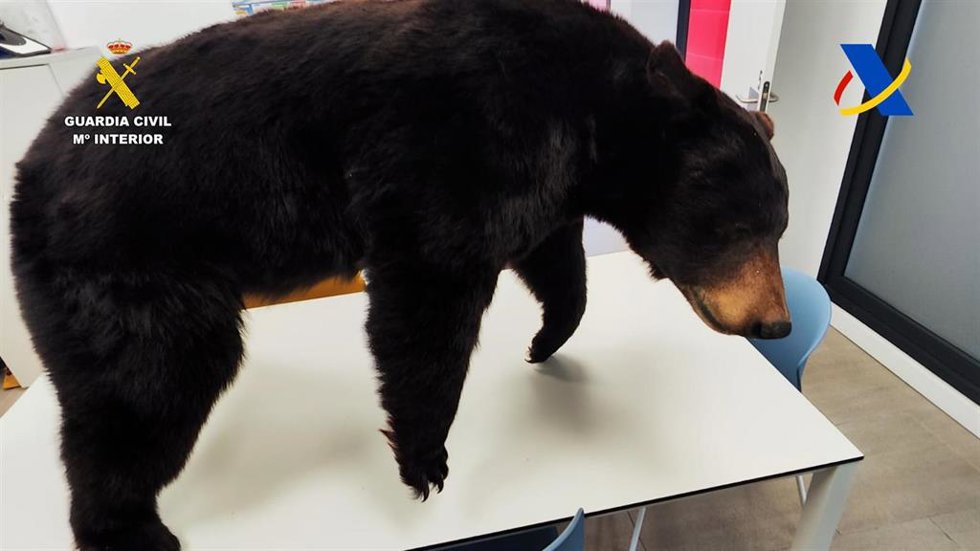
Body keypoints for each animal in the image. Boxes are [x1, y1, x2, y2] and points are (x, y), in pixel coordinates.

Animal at [10, 0, 790, 548]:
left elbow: (554, 261)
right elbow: (429, 294)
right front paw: (424, 459)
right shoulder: (464, 142)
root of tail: (30, 165)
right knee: (147, 382)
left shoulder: (548, 178)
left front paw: (546, 339)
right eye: (740, 227)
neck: (593, 115)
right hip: (125, 260)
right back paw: (127, 527)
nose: (776, 322)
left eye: (779, 228)